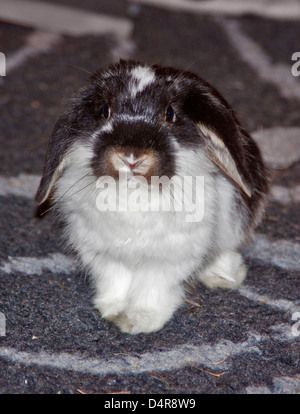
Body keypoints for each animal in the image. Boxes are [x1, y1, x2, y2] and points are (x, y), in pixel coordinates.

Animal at [36, 59, 268, 334]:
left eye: (170, 113)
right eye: (105, 110)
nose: (131, 157)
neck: (133, 193)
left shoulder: (169, 257)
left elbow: (153, 287)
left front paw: (139, 320)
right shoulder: (103, 252)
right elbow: (115, 280)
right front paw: (113, 311)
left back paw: (224, 278)